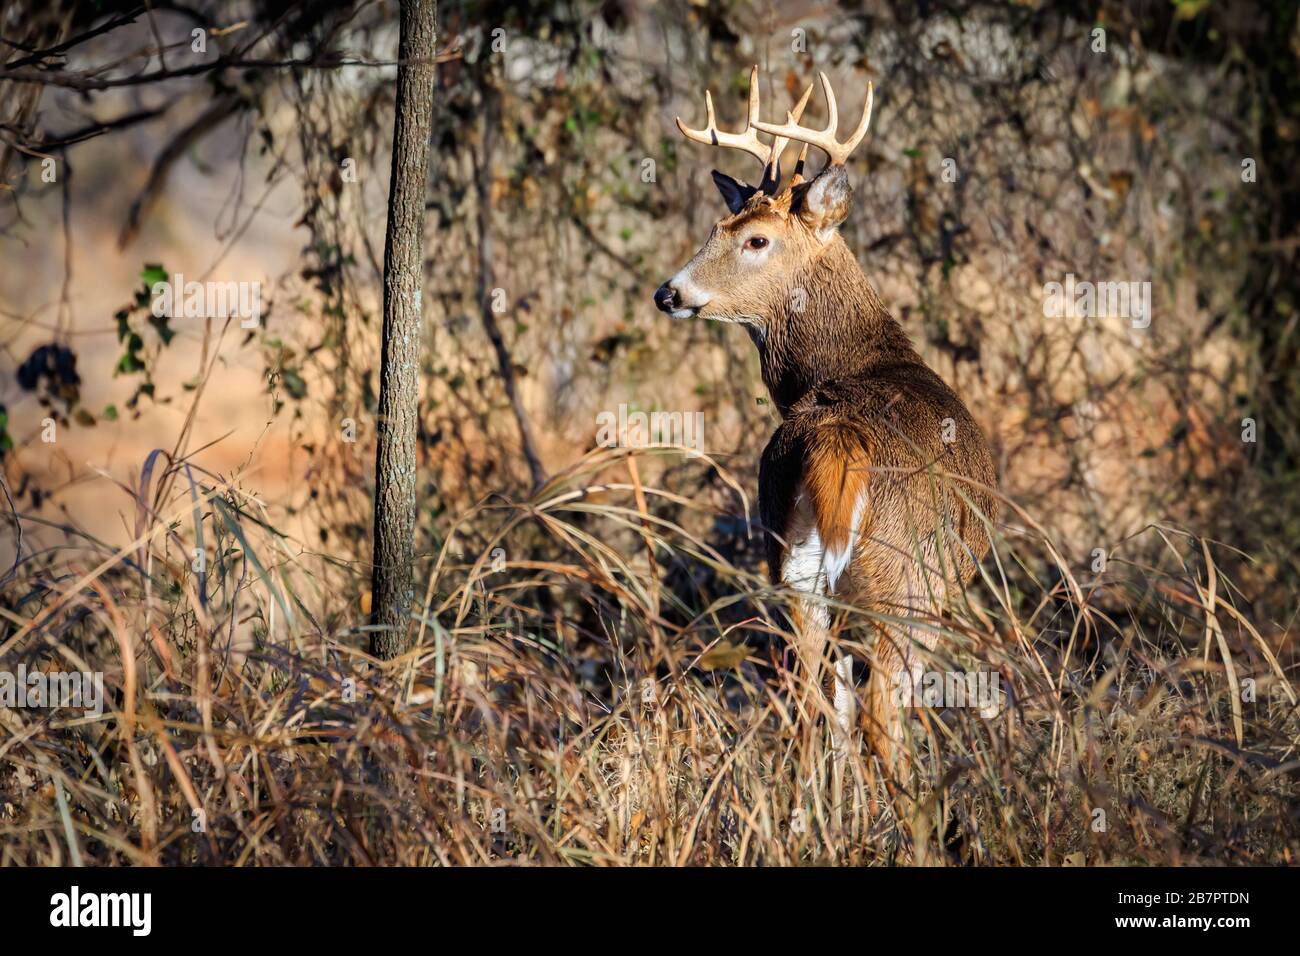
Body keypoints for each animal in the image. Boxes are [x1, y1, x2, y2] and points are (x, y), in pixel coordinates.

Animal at [654, 67, 999, 801]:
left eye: (754, 238)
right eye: (720, 227)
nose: (667, 292)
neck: (860, 358)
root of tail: (837, 440)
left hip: (794, 571)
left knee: (809, 711)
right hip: (908, 585)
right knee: (879, 720)